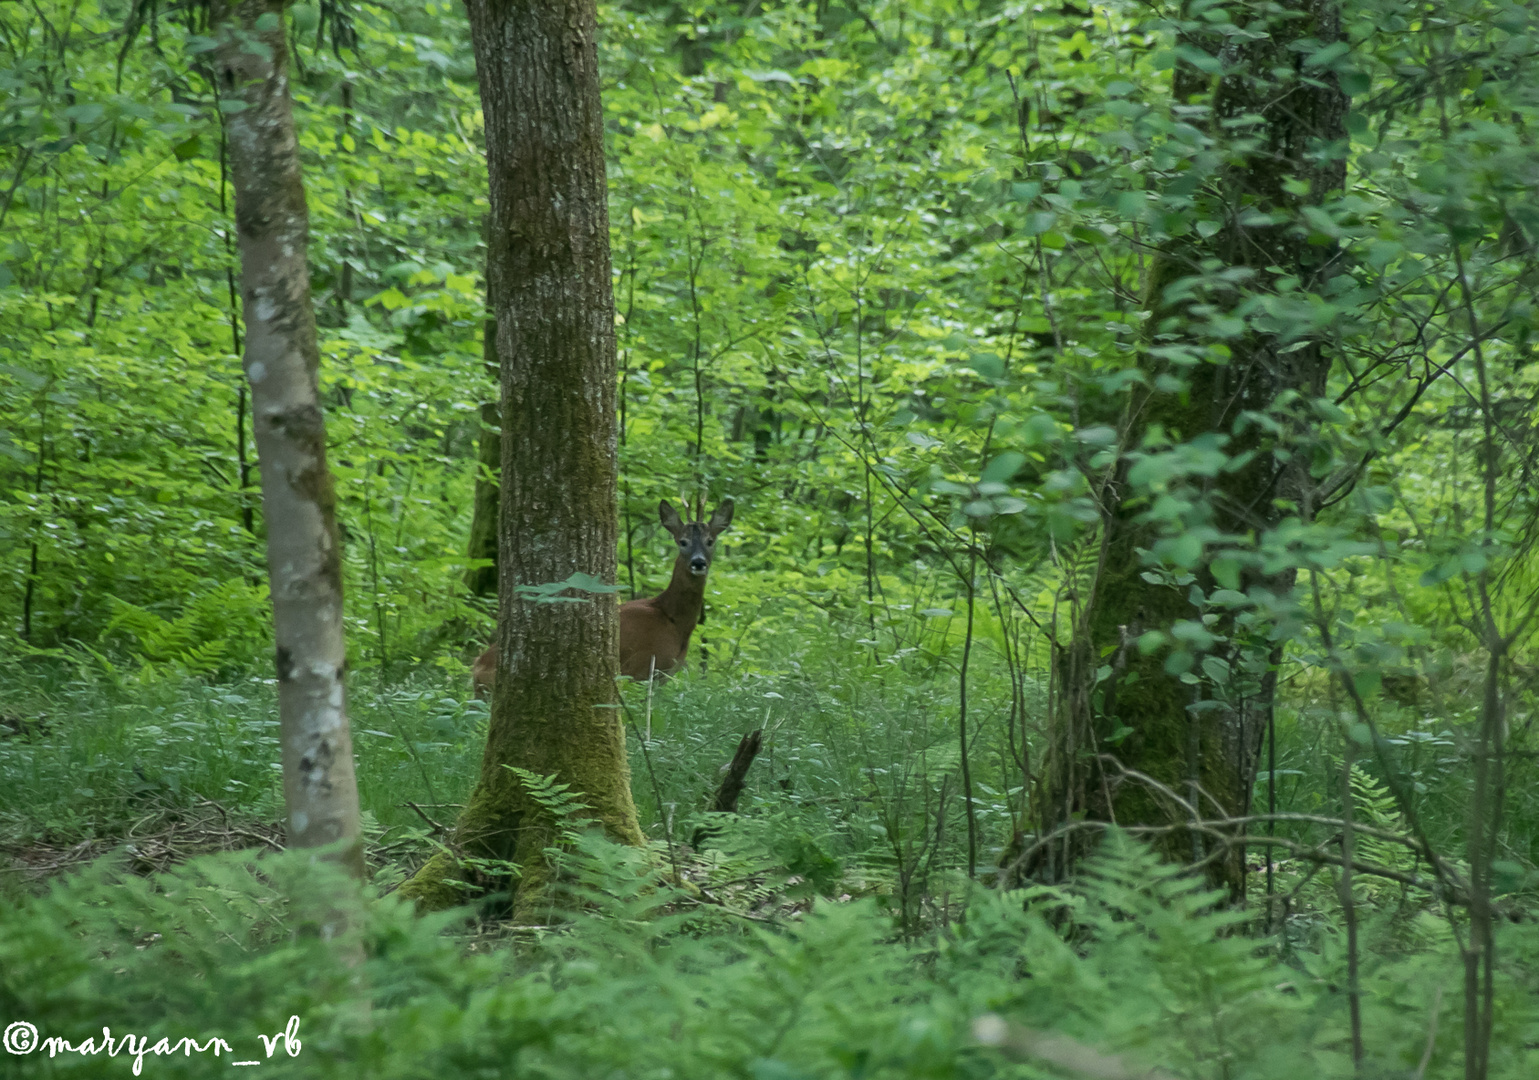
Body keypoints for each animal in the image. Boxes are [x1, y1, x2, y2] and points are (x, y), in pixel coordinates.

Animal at [467, 501, 732, 701]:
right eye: (682, 541)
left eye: (710, 541)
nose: (698, 562)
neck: (672, 619)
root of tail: (476, 666)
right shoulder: (640, 668)